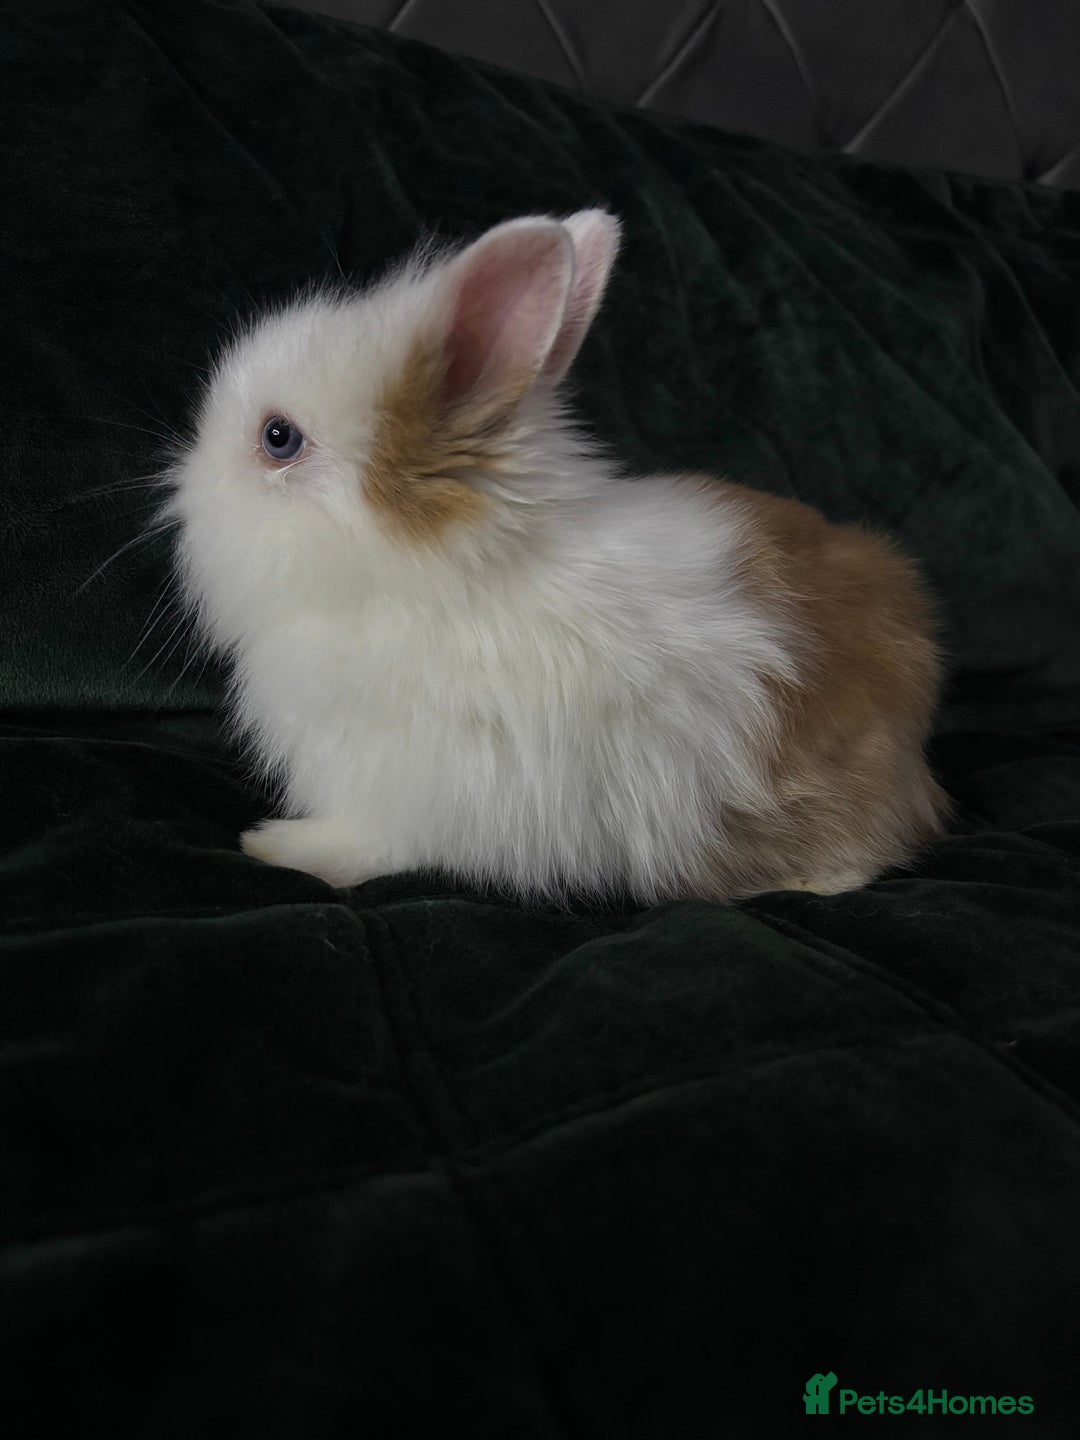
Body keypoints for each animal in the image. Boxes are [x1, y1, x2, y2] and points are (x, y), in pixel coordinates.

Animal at [163, 208, 948, 904]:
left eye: (279, 438)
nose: (185, 493)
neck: (427, 581)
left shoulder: (408, 785)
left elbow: (373, 842)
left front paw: (277, 846)